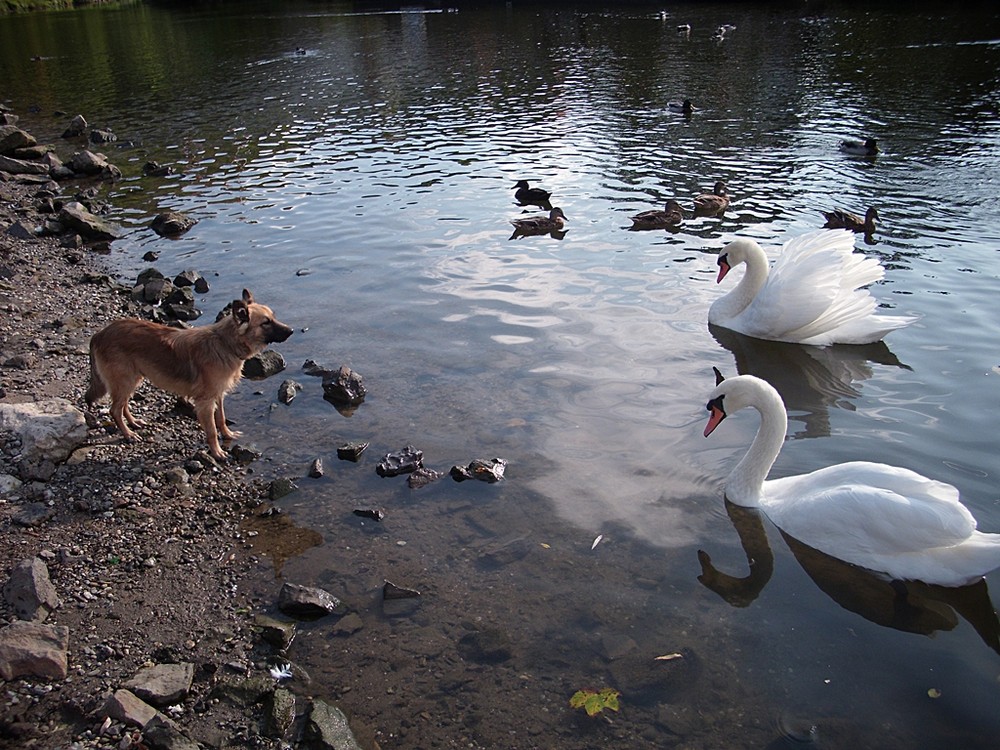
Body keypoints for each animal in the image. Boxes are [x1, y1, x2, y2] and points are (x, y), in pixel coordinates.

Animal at [85, 290, 292, 458]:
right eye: (266, 322)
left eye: (273, 317)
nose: (291, 330)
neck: (225, 343)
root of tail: (99, 334)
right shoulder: (205, 402)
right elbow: (211, 430)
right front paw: (217, 452)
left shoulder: (218, 395)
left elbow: (221, 418)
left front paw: (227, 434)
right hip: (125, 380)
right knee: (114, 410)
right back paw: (128, 434)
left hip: (132, 379)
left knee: (123, 405)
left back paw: (134, 422)